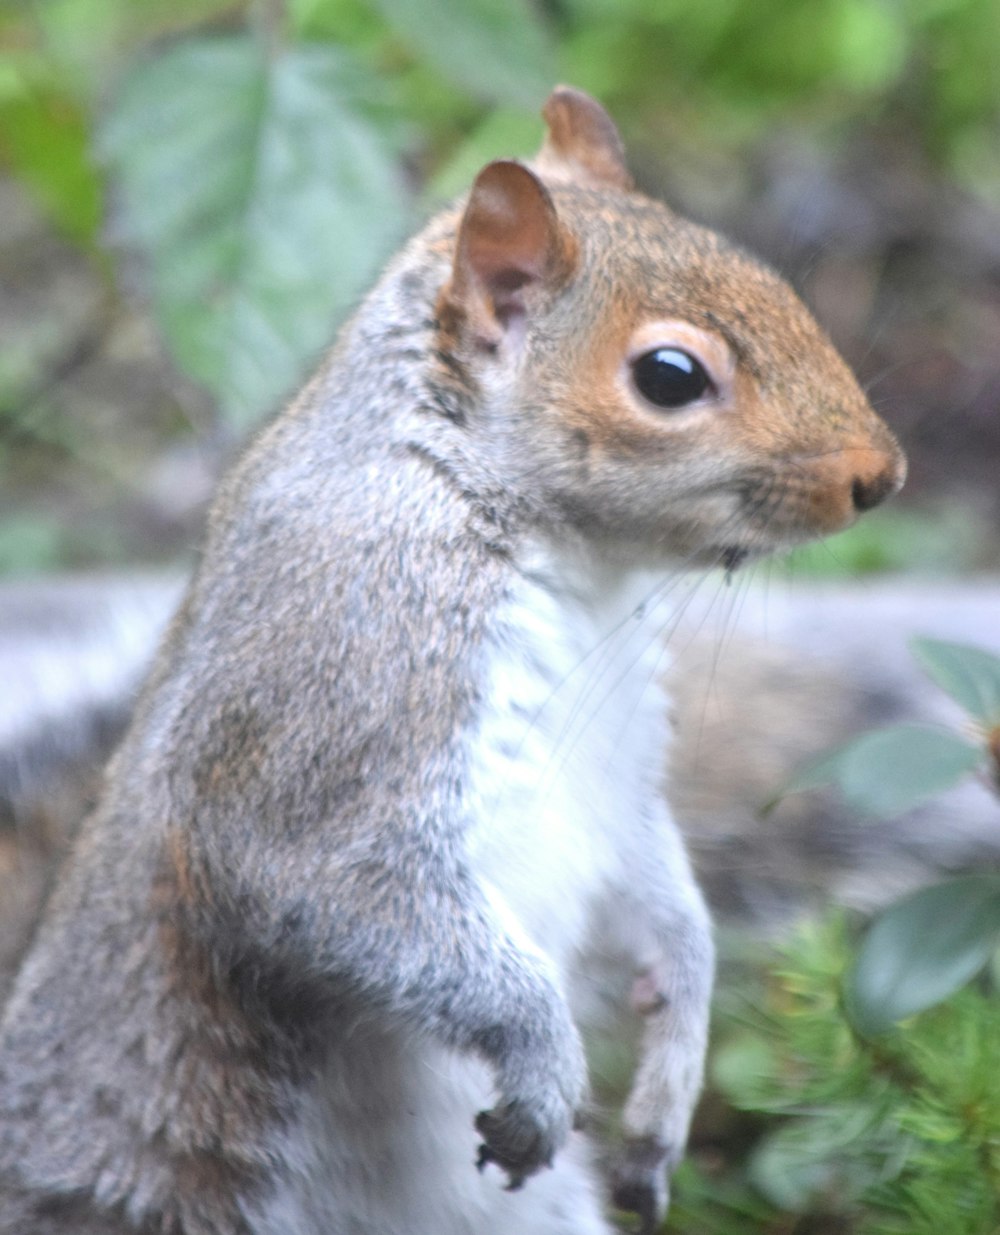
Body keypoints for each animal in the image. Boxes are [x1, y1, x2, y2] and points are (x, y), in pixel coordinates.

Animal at [0, 89, 903, 1235]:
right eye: (669, 377)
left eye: (779, 285)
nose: (881, 475)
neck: (572, 564)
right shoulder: (341, 671)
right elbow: (323, 881)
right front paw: (544, 1058)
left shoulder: (622, 778)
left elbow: (665, 902)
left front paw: (666, 1086)